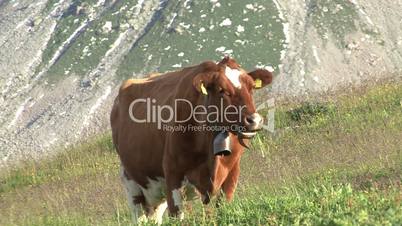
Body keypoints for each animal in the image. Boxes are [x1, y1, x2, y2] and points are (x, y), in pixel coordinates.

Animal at [110, 56, 274, 224]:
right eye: (221, 89)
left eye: (251, 87)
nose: (254, 120)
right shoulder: (173, 175)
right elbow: (177, 216)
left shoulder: (233, 172)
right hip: (132, 183)